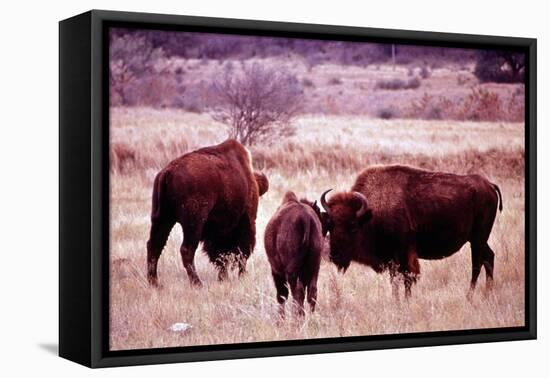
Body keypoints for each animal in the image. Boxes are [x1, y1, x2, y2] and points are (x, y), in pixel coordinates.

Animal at [146, 139, 268, 286]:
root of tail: (168, 172)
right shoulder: (247, 220)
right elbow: (242, 252)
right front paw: (241, 276)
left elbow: (220, 256)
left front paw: (223, 278)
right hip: (194, 223)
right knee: (186, 249)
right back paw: (197, 283)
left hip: (162, 218)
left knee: (154, 246)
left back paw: (154, 283)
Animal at [266, 190, 326, 318]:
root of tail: (305, 218)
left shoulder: (276, 270)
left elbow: (281, 295)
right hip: (314, 266)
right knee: (312, 292)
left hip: (291, 271)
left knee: (296, 293)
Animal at [322, 165, 506, 298]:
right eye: (330, 225)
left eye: (353, 226)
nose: (334, 256)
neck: (372, 214)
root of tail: (489, 185)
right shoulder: (392, 259)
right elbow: (394, 281)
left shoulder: (405, 254)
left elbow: (407, 278)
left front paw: (406, 301)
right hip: (478, 240)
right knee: (489, 257)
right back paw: (487, 293)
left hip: (477, 239)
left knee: (477, 263)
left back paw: (470, 296)